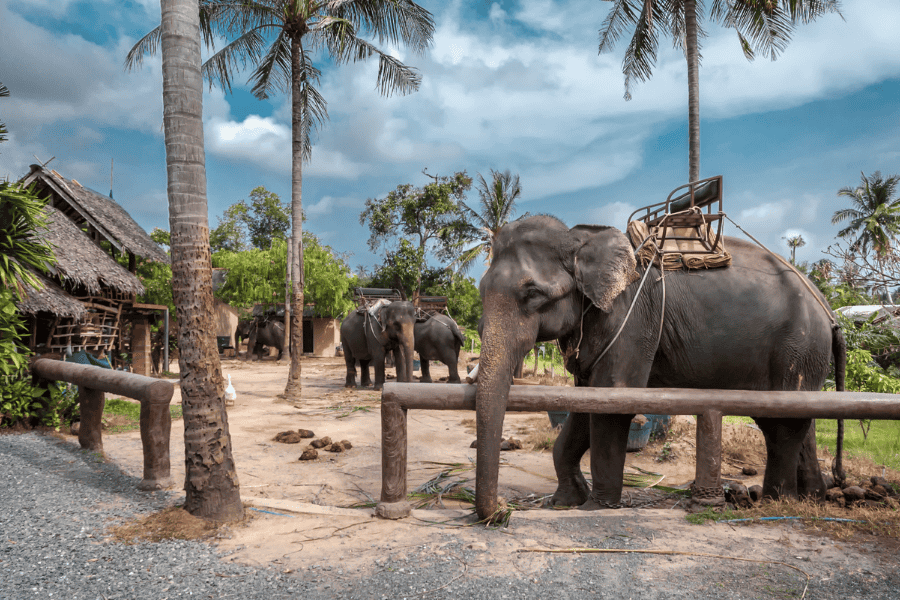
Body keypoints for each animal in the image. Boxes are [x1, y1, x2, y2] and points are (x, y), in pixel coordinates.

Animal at [473, 214, 846, 520]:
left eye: (532, 294)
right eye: (480, 290)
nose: (503, 511)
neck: (581, 239)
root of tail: (828, 310)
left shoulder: (631, 318)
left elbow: (612, 400)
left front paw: (596, 507)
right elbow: (587, 400)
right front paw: (564, 501)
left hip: (797, 345)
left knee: (782, 421)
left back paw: (776, 502)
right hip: (802, 353)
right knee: (797, 419)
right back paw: (811, 497)